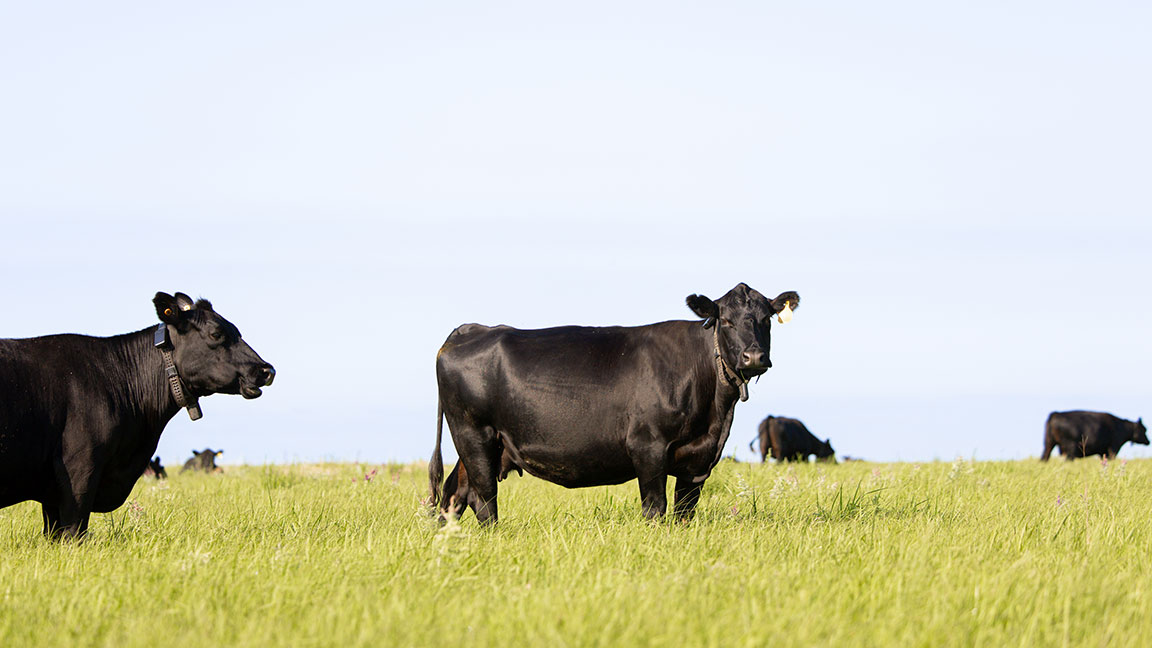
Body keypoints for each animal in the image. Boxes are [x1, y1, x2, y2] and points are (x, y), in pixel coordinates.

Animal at [428, 282, 800, 524]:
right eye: (726, 320)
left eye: (766, 319)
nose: (754, 357)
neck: (715, 416)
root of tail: (471, 330)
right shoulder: (647, 446)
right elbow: (655, 509)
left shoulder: (698, 460)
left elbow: (684, 513)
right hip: (473, 434)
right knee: (483, 499)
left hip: (485, 444)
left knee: (456, 494)